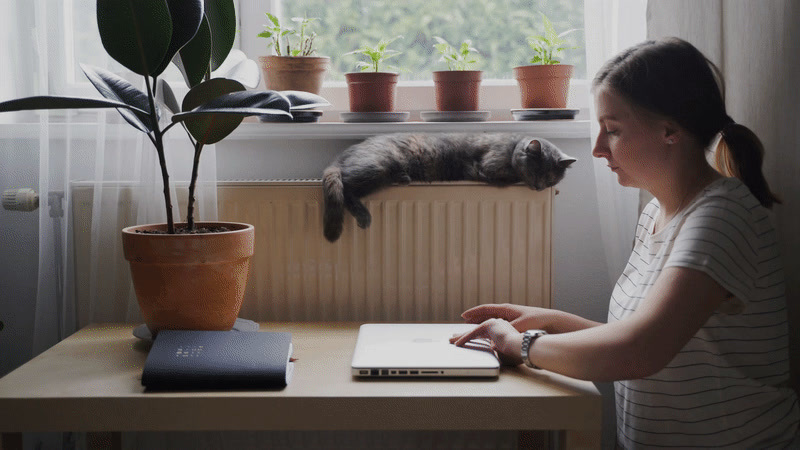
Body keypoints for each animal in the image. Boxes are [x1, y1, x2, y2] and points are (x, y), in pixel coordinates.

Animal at [318, 131, 576, 241]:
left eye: (551, 179)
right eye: (535, 172)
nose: (540, 187)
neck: (512, 146)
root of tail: (341, 156)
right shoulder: (488, 166)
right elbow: (505, 176)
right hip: (379, 166)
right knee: (347, 187)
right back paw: (364, 215)